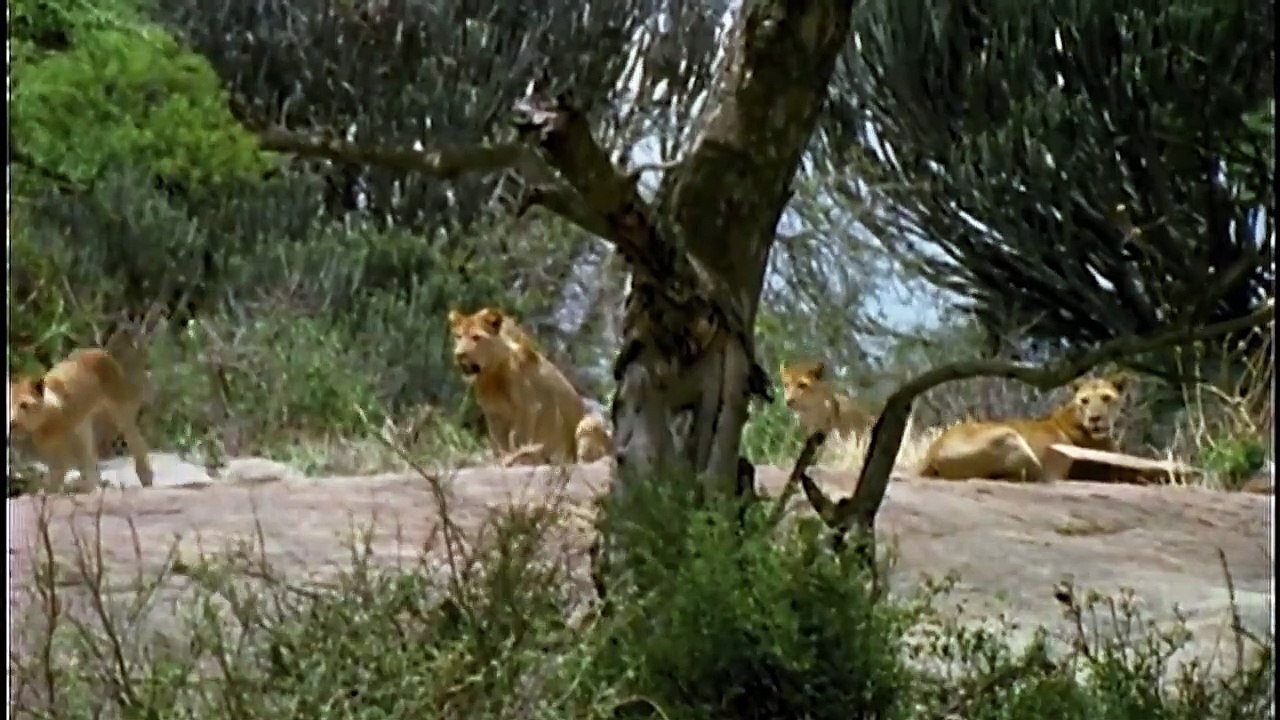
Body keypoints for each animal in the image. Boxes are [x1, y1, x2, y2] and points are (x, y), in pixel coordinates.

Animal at [8, 331, 155, 493]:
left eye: (24, 405)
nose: (12, 422)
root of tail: (97, 350)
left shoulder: (62, 455)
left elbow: (56, 479)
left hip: (121, 415)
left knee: (137, 443)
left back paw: (145, 477)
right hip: (86, 428)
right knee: (92, 461)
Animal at [448, 307, 614, 466]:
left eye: (476, 337)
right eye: (458, 337)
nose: (459, 355)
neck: (490, 376)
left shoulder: (528, 407)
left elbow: (519, 438)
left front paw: (519, 458)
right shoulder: (493, 414)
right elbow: (500, 443)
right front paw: (504, 458)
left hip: (587, 424)